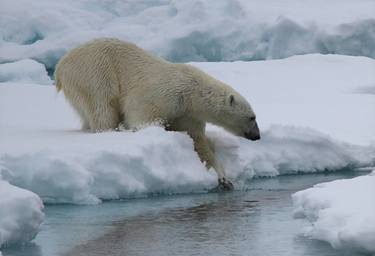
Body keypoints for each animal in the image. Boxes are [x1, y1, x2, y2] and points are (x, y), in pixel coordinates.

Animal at [55, 38, 260, 190]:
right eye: (252, 117)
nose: (257, 136)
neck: (192, 94)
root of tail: (61, 65)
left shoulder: (188, 115)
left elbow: (198, 142)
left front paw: (224, 179)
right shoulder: (164, 95)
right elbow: (141, 117)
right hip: (95, 71)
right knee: (103, 106)